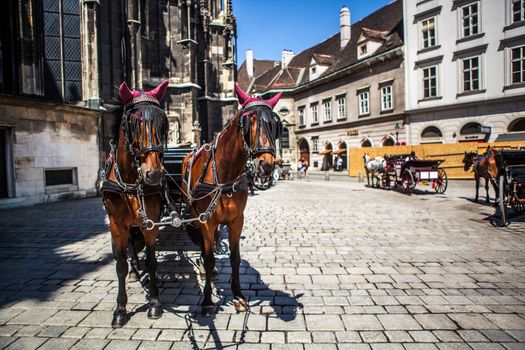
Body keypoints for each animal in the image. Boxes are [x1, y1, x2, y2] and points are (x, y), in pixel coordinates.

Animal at [100, 80, 168, 326]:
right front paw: (120, 309)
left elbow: (151, 260)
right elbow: (120, 264)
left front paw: (155, 303)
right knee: (129, 247)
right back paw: (133, 272)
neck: (130, 182)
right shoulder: (116, 223)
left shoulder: (151, 222)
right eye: (133, 122)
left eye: (163, 121)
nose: (154, 174)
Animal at [184, 84, 282, 314]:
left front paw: (238, 295)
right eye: (249, 121)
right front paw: (207, 299)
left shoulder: (236, 220)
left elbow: (235, 258)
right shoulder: (206, 221)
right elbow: (210, 258)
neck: (224, 175)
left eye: (275, 124)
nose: (266, 165)